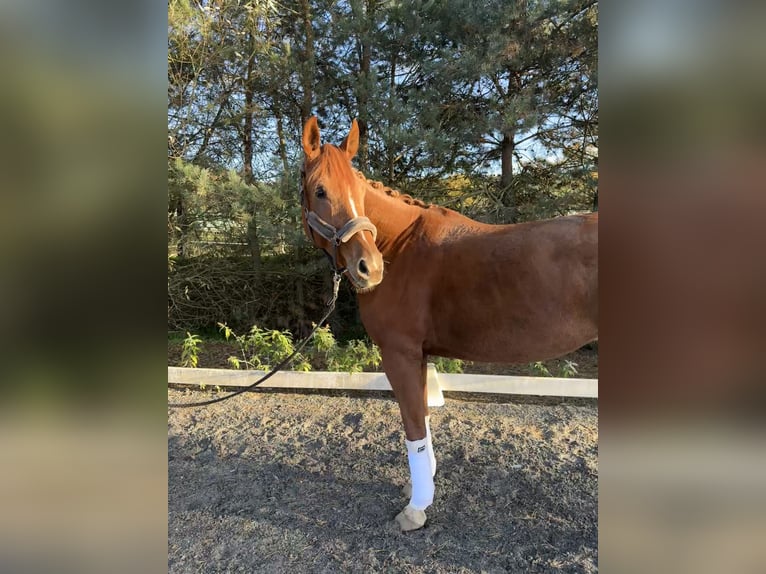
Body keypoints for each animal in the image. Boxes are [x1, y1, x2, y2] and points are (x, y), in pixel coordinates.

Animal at [300, 116, 598, 531]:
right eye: (320, 191)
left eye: (358, 191)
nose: (368, 268)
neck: (401, 248)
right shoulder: (419, 356)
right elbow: (423, 421)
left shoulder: (400, 354)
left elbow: (414, 427)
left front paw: (416, 507)